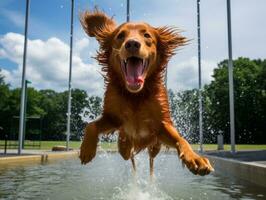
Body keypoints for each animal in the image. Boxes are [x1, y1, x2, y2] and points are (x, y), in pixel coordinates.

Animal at [79, 9, 214, 176]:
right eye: (120, 35)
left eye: (147, 35)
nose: (132, 44)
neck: (136, 96)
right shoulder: (112, 118)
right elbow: (91, 125)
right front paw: (87, 149)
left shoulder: (161, 125)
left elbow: (181, 139)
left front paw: (195, 158)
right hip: (124, 147)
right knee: (129, 154)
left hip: (154, 146)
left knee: (151, 160)